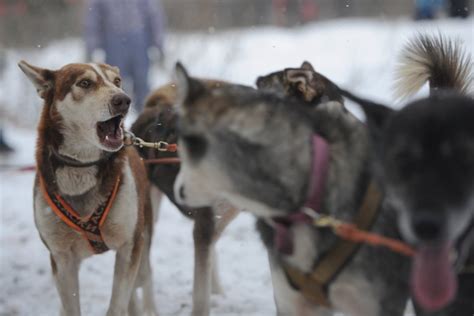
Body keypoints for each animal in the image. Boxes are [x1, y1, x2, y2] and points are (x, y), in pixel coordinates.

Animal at [18, 60, 157, 314]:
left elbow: (117, 304)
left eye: (117, 81)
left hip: (143, 237)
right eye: (84, 83)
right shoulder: (61, 257)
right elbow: (71, 306)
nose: (123, 100)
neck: (81, 168)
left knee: (144, 279)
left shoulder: (129, 245)